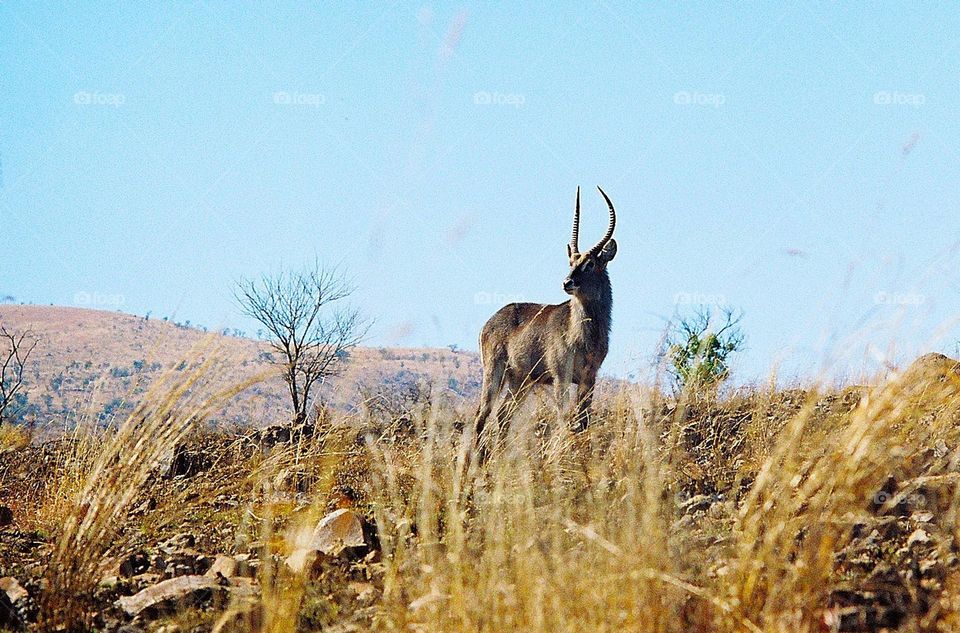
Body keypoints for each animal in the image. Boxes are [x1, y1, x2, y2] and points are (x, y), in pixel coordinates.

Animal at [476, 185, 620, 446]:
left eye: (590, 263)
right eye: (571, 261)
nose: (567, 282)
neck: (583, 333)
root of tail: (488, 322)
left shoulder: (589, 378)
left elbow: (584, 422)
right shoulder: (561, 376)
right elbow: (564, 420)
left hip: (520, 380)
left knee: (503, 415)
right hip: (495, 372)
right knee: (482, 414)